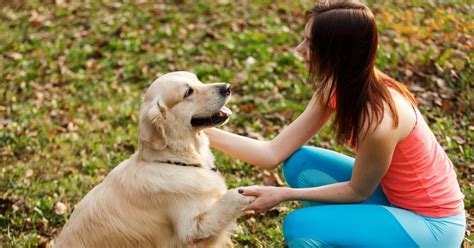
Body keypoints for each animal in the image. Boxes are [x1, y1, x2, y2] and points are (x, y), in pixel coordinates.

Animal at [54, 70, 256, 247]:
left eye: (197, 79)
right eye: (188, 92)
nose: (227, 87)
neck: (175, 162)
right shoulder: (192, 228)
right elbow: (226, 200)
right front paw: (246, 194)